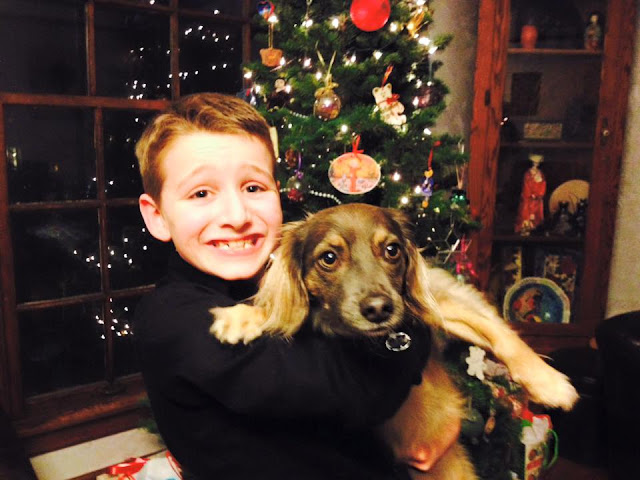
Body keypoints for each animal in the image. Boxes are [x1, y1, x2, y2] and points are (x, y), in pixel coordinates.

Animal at [210, 203, 578, 479]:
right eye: (329, 258)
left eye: (392, 250)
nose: (378, 309)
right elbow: (276, 311)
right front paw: (244, 316)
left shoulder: (437, 304)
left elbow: (499, 332)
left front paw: (548, 383)